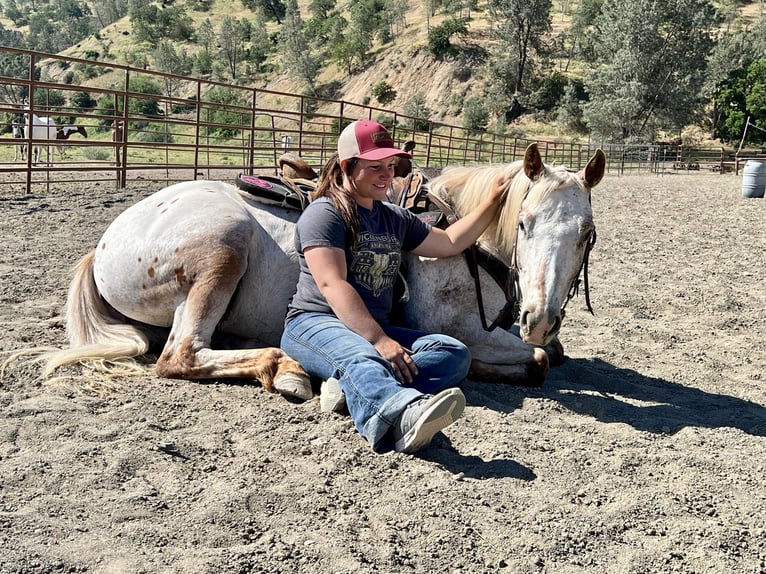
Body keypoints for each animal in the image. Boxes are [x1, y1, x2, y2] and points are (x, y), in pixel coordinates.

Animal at [25, 142, 608, 398]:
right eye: (525, 222)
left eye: (587, 233)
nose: (539, 318)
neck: (456, 235)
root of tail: (105, 244)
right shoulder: (461, 327)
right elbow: (539, 360)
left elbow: (550, 354)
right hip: (221, 250)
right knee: (180, 356)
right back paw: (287, 368)